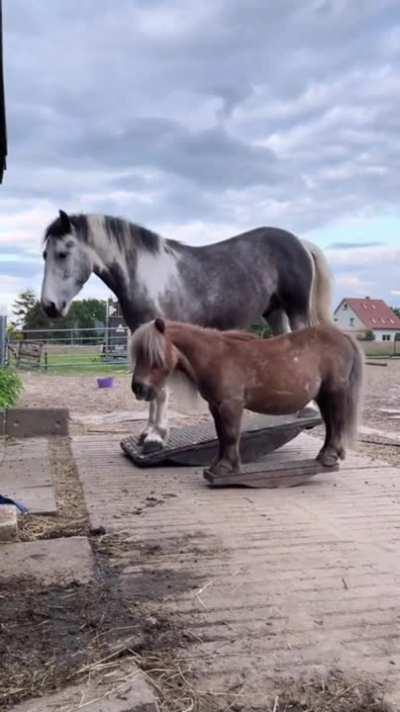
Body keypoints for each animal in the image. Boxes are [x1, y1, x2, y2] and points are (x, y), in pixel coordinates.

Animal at [40, 210, 332, 452]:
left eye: (63, 253)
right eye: (45, 255)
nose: (49, 307)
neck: (146, 275)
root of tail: (299, 242)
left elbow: (160, 390)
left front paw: (156, 438)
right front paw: (147, 434)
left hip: (296, 310)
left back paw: (307, 409)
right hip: (275, 312)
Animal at [130, 318, 363, 475]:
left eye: (152, 354)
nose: (138, 388)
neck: (216, 357)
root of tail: (342, 336)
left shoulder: (230, 405)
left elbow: (231, 434)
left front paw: (225, 468)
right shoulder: (216, 406)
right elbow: (222, 435)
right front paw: (219, 465)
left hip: (335, 391)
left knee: (337, 421)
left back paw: (329, 457)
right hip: (324, 395)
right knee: (331, 423)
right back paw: (325, 455)